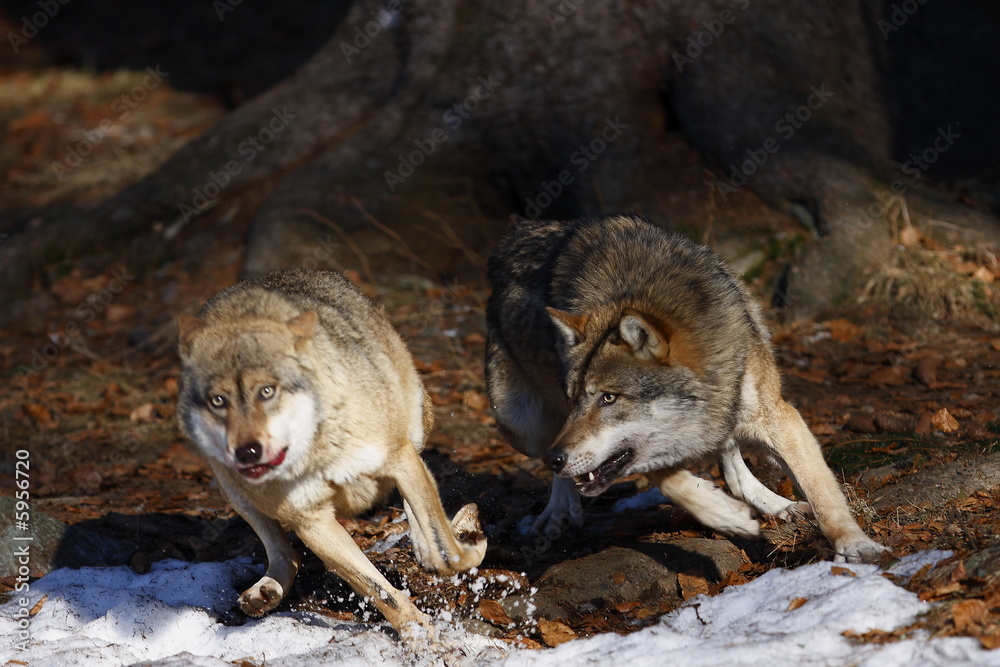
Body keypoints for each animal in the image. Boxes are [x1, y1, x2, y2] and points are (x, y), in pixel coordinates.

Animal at [177, 268, 486, 642]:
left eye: (267, 391)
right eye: (218, 401)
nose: (247, 452)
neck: (316, 452)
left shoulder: (400, 460)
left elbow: (448, 554)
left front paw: (469, 541)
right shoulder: (311, 521)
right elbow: (379, 590)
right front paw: (420, 636)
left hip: (415, 428)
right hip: (232, 488)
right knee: (286, 554)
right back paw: (267, 591)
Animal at [485, 214, 887, 563]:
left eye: (609, 398)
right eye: (574, 400)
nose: (554, 459)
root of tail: (518, 234)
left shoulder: (777, 415)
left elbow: (822, 494)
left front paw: (855, 545)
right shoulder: (644, 448)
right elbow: (676, 485)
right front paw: (727, 518)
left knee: (734, 467)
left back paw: (779, 504)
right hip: (520, 427)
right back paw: (558, 512)